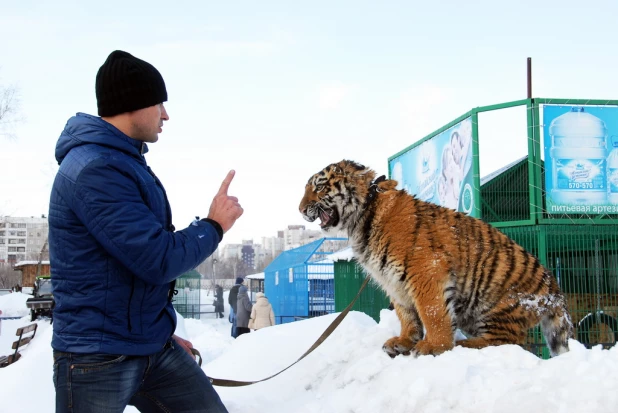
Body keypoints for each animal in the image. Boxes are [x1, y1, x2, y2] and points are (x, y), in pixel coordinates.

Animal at [298, 159, 572, 356]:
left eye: (319, 187)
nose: (300, 210)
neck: (362, 216)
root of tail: (555, 290)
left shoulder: (426, 271)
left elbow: (433, 313)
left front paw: (435, 346)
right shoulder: (393, 281)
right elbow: (407, 314)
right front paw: (404, 341)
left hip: (495, 303)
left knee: (511, 341)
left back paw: (467, 345)